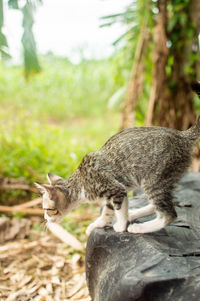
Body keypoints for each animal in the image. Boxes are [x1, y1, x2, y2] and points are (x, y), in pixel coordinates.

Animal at [35, 81, 200, 234]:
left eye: (47, 209)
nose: (45, 219)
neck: (80, 183)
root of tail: (183, 135)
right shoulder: (116, 191)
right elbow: (109, 210)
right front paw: (99, 223)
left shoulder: (116, 188)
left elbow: (119, 209)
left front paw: (121, 226)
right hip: (164, 179)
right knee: (165, 203)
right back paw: (134, 214)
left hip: (154, 180)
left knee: (169, 214)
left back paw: (140, 227)